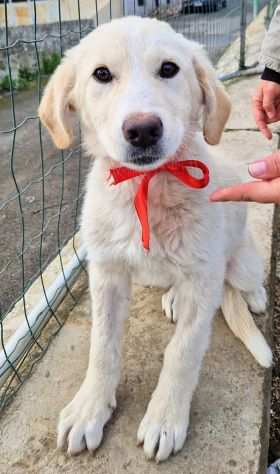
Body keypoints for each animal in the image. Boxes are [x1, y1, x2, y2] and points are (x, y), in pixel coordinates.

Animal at [38, 15, 272, 462]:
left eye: (169, 69)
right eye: (101, 74)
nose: (143, 130)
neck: (147, 186)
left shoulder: (202, 278)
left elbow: (182, 354)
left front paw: (165, 419)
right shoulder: (107, 274)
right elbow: (102, 346)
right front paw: (90, 408)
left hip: (239, 264)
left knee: (244, 283)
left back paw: (252, 296)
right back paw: (172, 296)